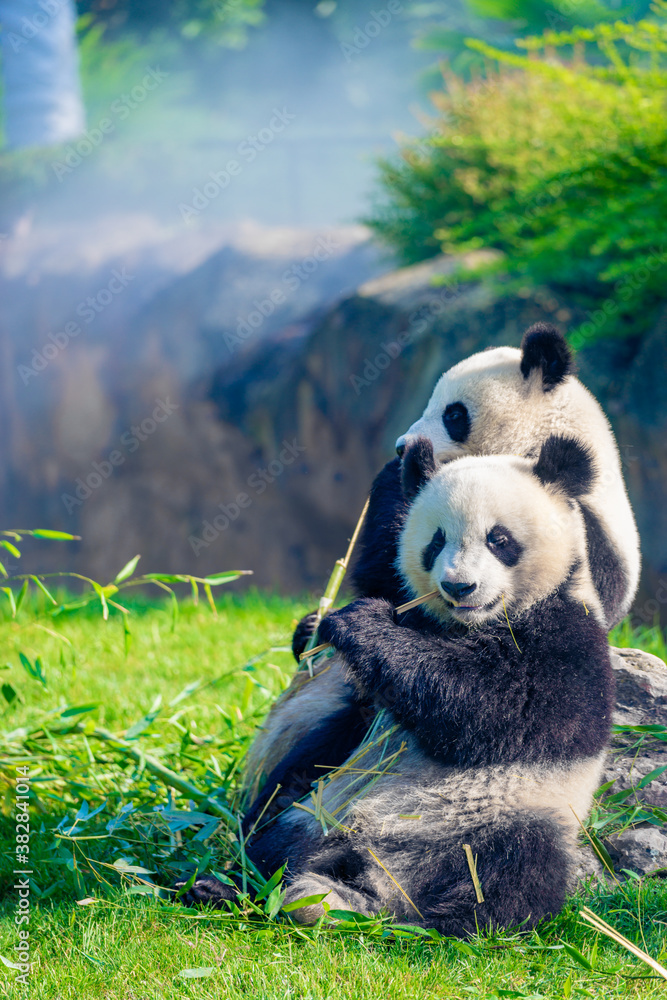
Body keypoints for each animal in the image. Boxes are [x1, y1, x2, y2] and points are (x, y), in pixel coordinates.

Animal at [180, 435, 614, 937]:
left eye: (499, 539)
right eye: (436, 541)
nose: (459, 586)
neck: (467, 625)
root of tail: (382, 878)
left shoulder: (569, 639)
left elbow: (493, 707)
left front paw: (358, 623)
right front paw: (320, 626)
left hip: (507, 816)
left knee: (511, 872)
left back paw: (441, 921)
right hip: (318, 808)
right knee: (275, 834)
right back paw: (229, 889)